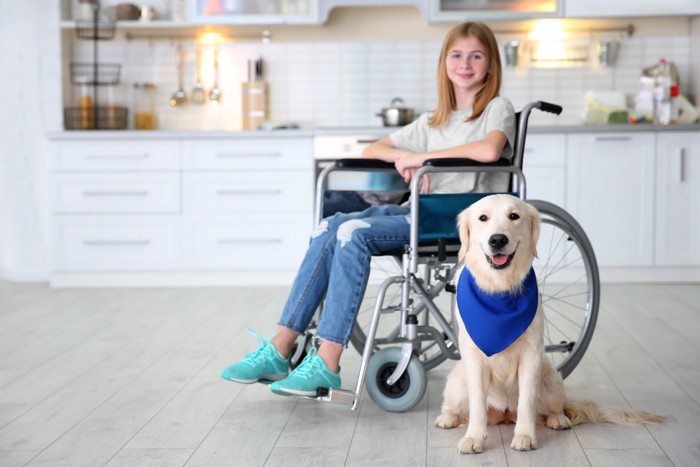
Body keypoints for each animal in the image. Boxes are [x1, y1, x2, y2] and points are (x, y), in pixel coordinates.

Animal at [434, 194, 664, 454]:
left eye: (514, 216)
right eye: (483, 218)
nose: (498, 239)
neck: (501, 290)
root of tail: (504, 415)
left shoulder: (532, 353)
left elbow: (526, 401)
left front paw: (525, 436)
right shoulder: (474, 356)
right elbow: (477, 404)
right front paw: (473, 437)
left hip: (552, 380)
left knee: (554, 408)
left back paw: (558, 419)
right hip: (457, 381)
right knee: (454, 406)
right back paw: (447, 418)